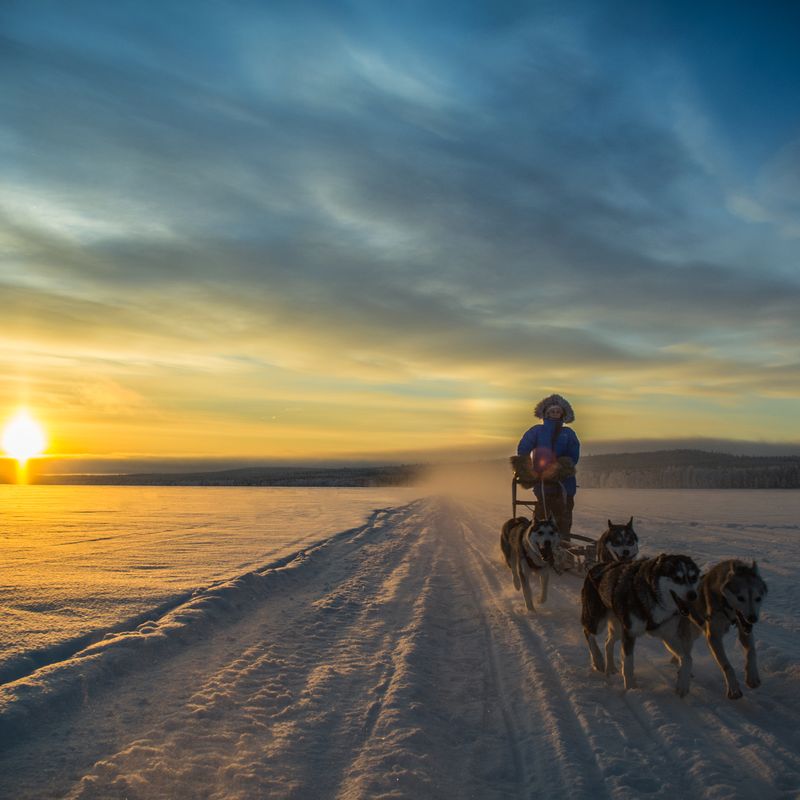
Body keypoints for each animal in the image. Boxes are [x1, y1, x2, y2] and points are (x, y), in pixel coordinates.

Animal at [580, 556, 700, 692]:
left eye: (693, 577)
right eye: (677, 578)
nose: (693, 595)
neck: (653, 596)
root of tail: (595, 567)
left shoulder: (668, 636)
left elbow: (688, 658)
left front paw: (683, 684)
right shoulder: (630, 634)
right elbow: (628, 663)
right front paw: (631, 689)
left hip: (619, 629)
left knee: (607, 642)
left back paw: (610, 668)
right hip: (597, 622)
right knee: (587, 632)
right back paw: (598, 660)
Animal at [684, 560, 764, 696]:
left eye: (758, 598)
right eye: (740, 598)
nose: (753, 618)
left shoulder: (744, 629)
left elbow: (751, 652)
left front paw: (752, 676)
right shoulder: (713, 636)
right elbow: (727, 665)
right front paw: (733, 688)